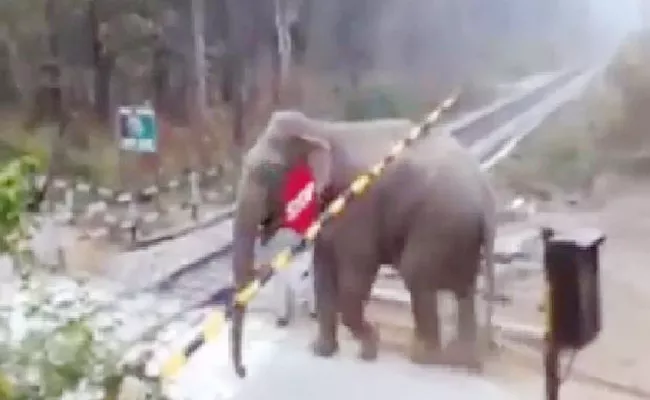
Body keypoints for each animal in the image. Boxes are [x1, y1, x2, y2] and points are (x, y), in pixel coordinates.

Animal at [230, 108, 494, 376]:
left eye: (267, 173)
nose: (243, 371)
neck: (320, 129)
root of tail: (485, 196)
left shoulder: (357, 205)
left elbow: (354, 278)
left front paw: (369, 349)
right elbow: (322, 270)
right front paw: (321, 351)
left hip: (438, 226)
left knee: (417, 277)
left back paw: (424, 358)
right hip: (460, 234)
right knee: (464, 288)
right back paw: (463, 359)